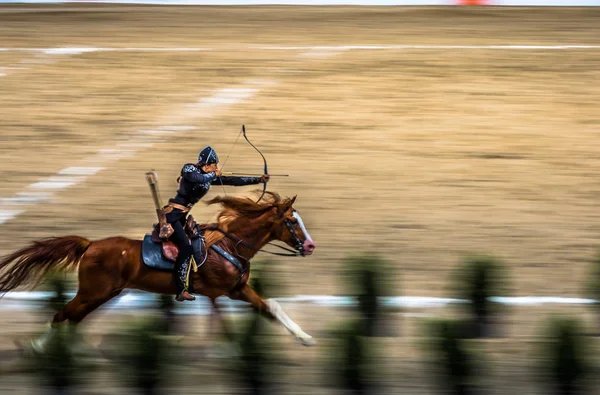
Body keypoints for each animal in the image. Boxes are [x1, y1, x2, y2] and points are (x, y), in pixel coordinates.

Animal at [0, 192, 316, 352]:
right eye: (291, 221)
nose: (310, 245)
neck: (227, 244)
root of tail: (90, 244)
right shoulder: (222, 293)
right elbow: (226, 322)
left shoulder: (236, 290)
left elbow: (270, 306)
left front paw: (304, 336)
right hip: (93, 292)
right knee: (62, 315)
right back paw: (37, 345)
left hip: (105, 294)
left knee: (74, 318)